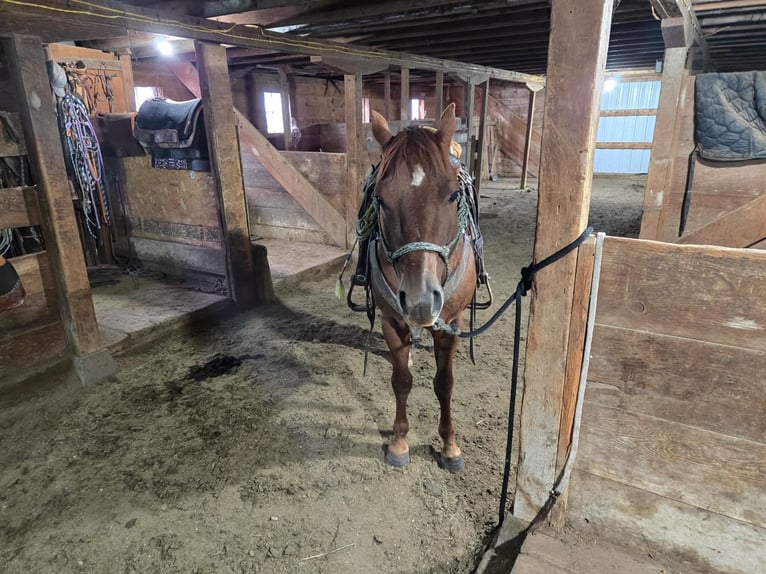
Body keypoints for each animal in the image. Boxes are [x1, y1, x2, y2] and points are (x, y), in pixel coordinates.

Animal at [365, 103, 479, 473]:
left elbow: (444, 384)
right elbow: (401, 381)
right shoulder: (391, 321)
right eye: (381, 200)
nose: (421, 302)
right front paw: (399, 442)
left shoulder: (452, 324)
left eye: (453, 195)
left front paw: (450, 446)